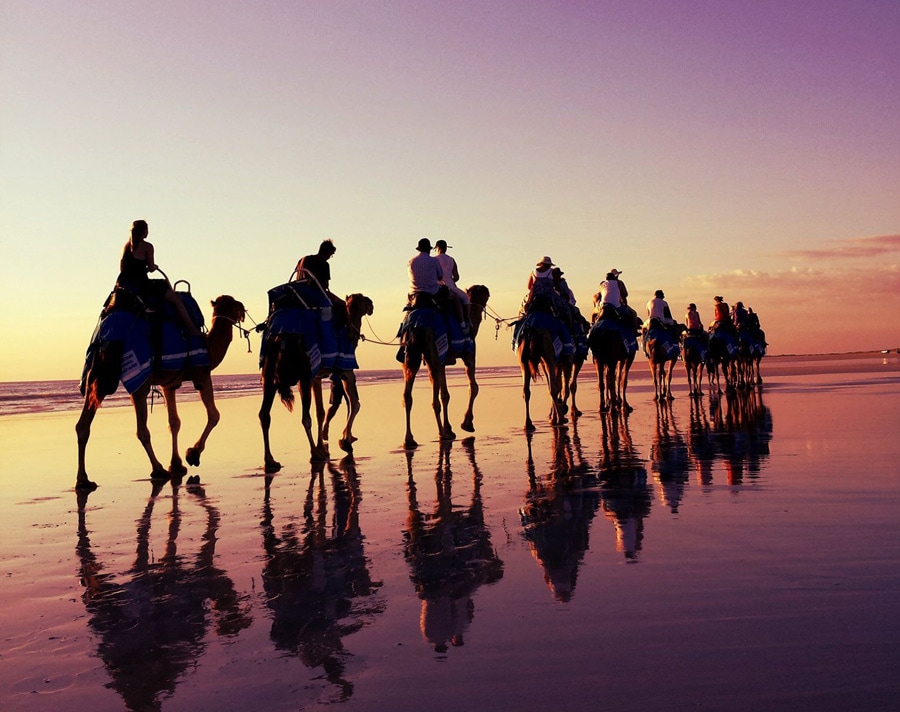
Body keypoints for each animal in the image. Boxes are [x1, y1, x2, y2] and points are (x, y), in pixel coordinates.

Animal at [76, 294, 246, 490]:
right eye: (235, 304)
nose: (243, 310)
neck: (209, 346)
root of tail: (105, 334)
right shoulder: (202, 374)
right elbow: (214, 415)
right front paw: (192, 454)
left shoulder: (169, 384)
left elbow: (174, 422)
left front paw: (177, 464)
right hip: (137, 376)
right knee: (141, 429)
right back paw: (158, 469)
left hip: (97, 377)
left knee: (83, 425)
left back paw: (83, 480)